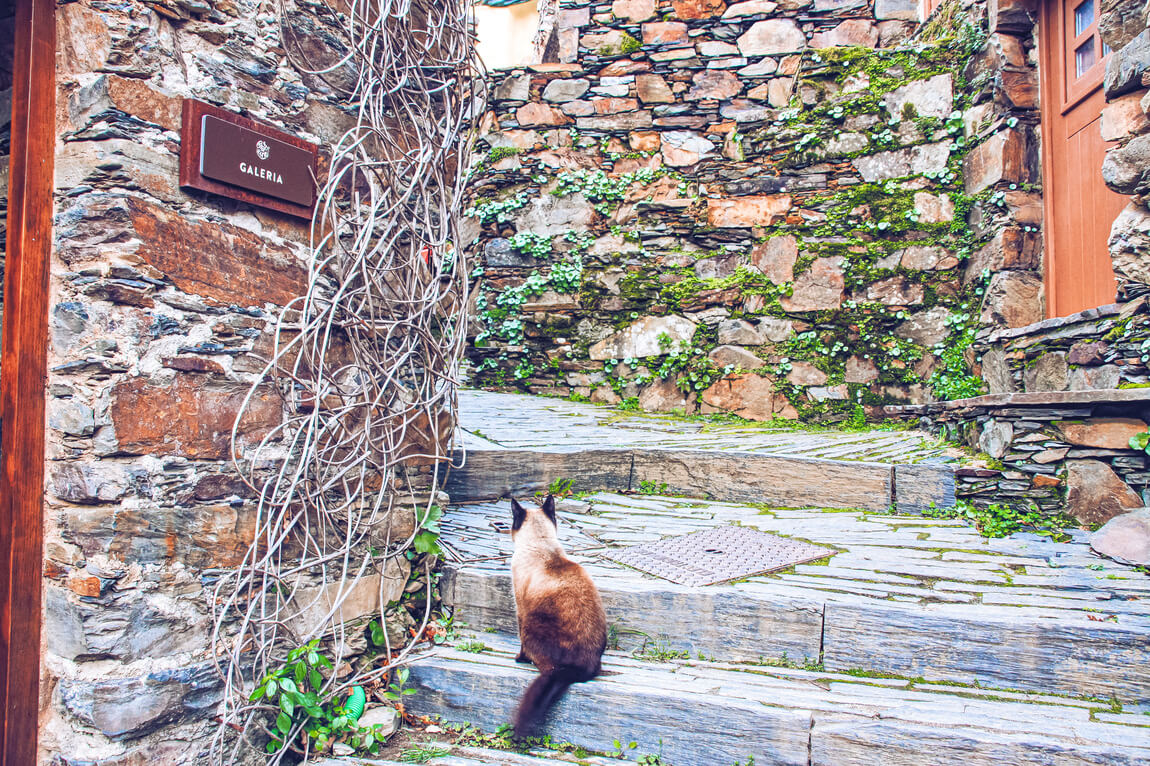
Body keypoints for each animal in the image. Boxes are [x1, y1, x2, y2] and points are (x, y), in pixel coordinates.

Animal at [508, 492, 607, 736]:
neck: (542, 545)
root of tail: (582, 667)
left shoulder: (520, 608)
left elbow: (519, 642)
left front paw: (519, 658)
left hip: (531, 626)